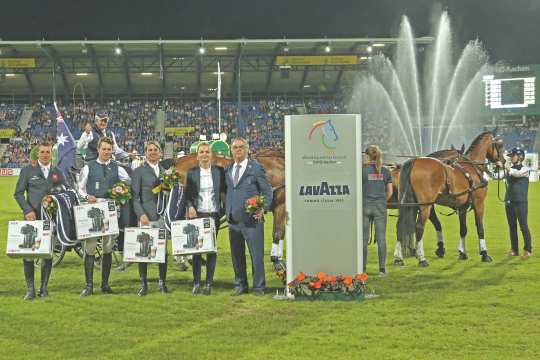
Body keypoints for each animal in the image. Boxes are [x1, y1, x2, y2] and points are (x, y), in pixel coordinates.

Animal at [394, 131, 504, 266]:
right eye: (500, 145)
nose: (503, 161)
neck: (472, 168)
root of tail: (414, 161)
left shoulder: (462, 207)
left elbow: (463, 229)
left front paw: (462, 253)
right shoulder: (479, 203)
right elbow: (480, 228)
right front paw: (484, 253)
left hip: (411, 204)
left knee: (400, 226)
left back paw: (399, 258)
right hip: (425, 205)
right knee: (419, 227)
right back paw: (422, 259)